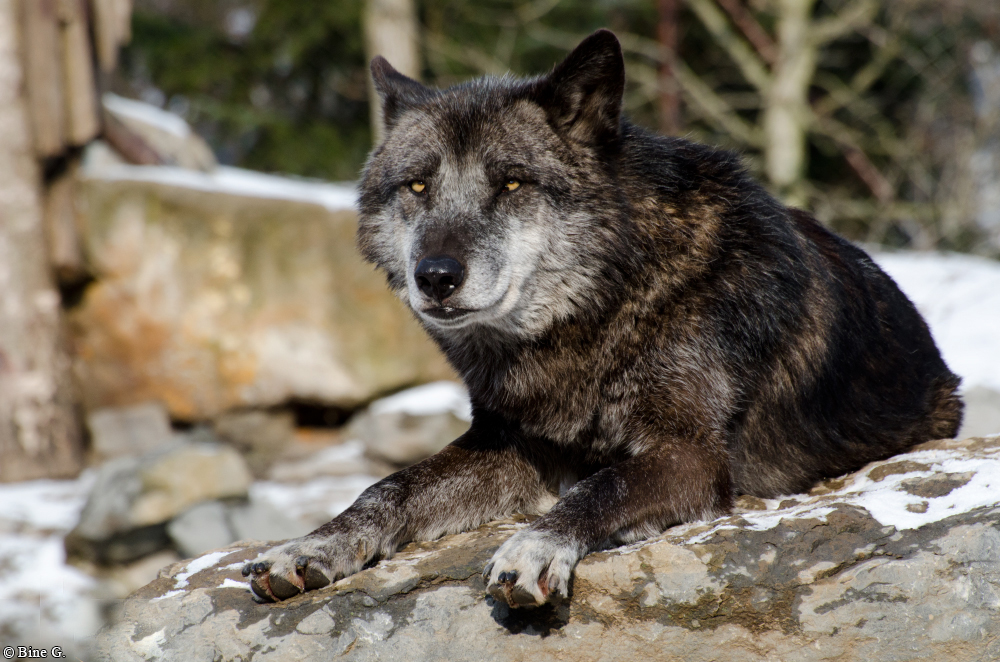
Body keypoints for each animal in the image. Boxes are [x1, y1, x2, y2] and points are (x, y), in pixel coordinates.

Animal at [244, 29, 963, 608]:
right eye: (417, 185)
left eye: (511, 183)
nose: (437, 277)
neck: (603, 309)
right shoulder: (513, 444)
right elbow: (390, 487)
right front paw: (312, 545)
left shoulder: (690, 454)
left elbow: (601, 488)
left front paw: (534, 547)